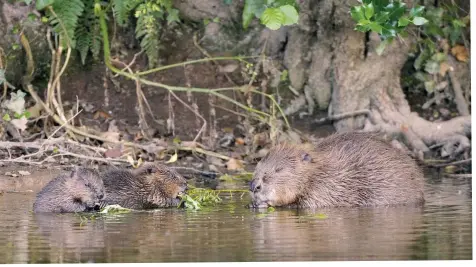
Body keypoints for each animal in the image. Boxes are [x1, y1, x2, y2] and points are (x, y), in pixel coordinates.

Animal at [251, 133, 426, 210]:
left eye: (278, 169)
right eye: (258, 166)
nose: (253, 186)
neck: (319, 171)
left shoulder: (326, 188)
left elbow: (307, 204)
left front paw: (263, 203)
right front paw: (253, 203)